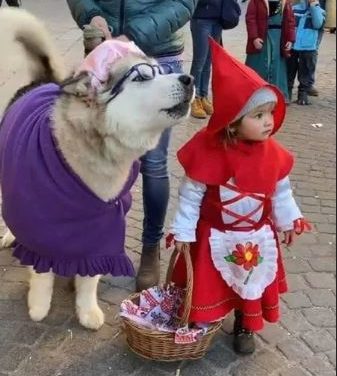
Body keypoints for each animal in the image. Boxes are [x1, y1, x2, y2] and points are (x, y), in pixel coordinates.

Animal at [0, 8, 193, 330]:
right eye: (142, 77)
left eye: (160, 70)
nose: (189, 79)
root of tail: (42, 81)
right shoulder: (38, 218)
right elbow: (41, 270)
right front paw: (39, 305)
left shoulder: (103, 221)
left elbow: (89, 275)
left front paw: (87, 310)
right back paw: (9, 235)